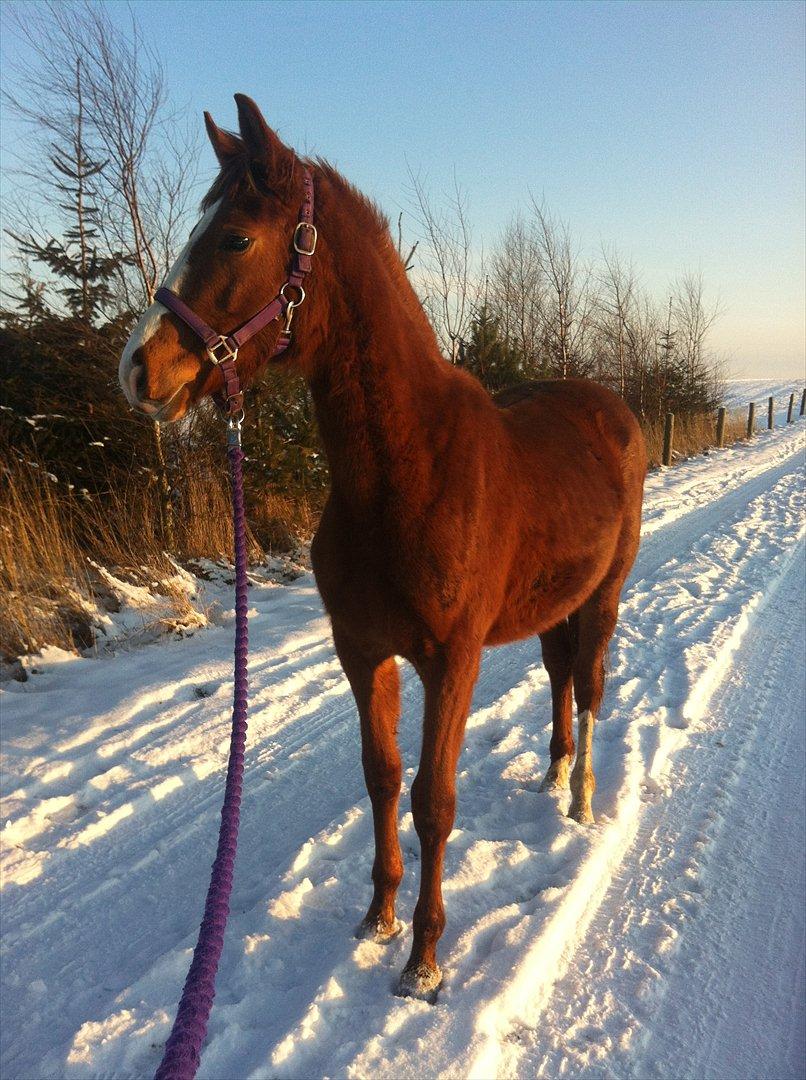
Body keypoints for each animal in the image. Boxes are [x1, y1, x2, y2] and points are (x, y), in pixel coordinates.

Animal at [119, 97, 643, 997]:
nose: (137, 368)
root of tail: (611, 409)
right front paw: (379, 917)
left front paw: (424, 960)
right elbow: (383, 778)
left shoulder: (452, 660)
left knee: (591, 681)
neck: (407, 473)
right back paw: (551, 771)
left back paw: (579, 797)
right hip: (554, 604)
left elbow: (434, 800)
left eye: (235, 238)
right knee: (558, 677)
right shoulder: (365, 653)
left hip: (605, 594)